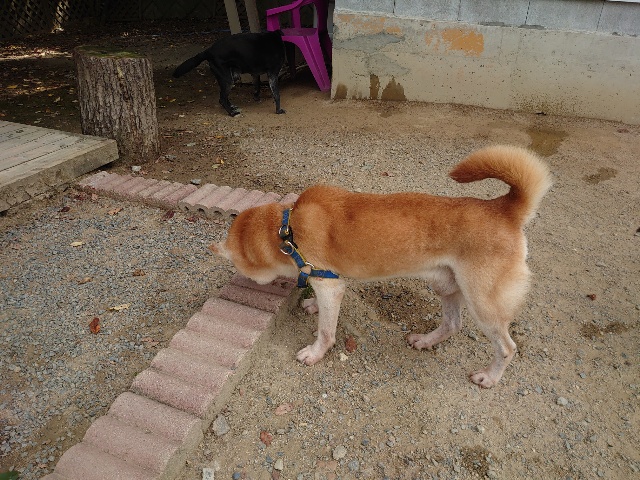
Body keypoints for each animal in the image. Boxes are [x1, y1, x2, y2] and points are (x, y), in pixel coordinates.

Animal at [210, 145, 552, 388]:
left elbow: (326, 332)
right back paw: (425, 341)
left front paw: (315, 353)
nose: (245, 281)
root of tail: (503, 208)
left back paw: (489, 377)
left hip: (484, 304)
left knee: (507, 347)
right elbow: (324, 308)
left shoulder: (329, 285)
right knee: (453, 324)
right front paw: (311, 306)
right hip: (446, 284)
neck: (286, 230)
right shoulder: (332, 282)